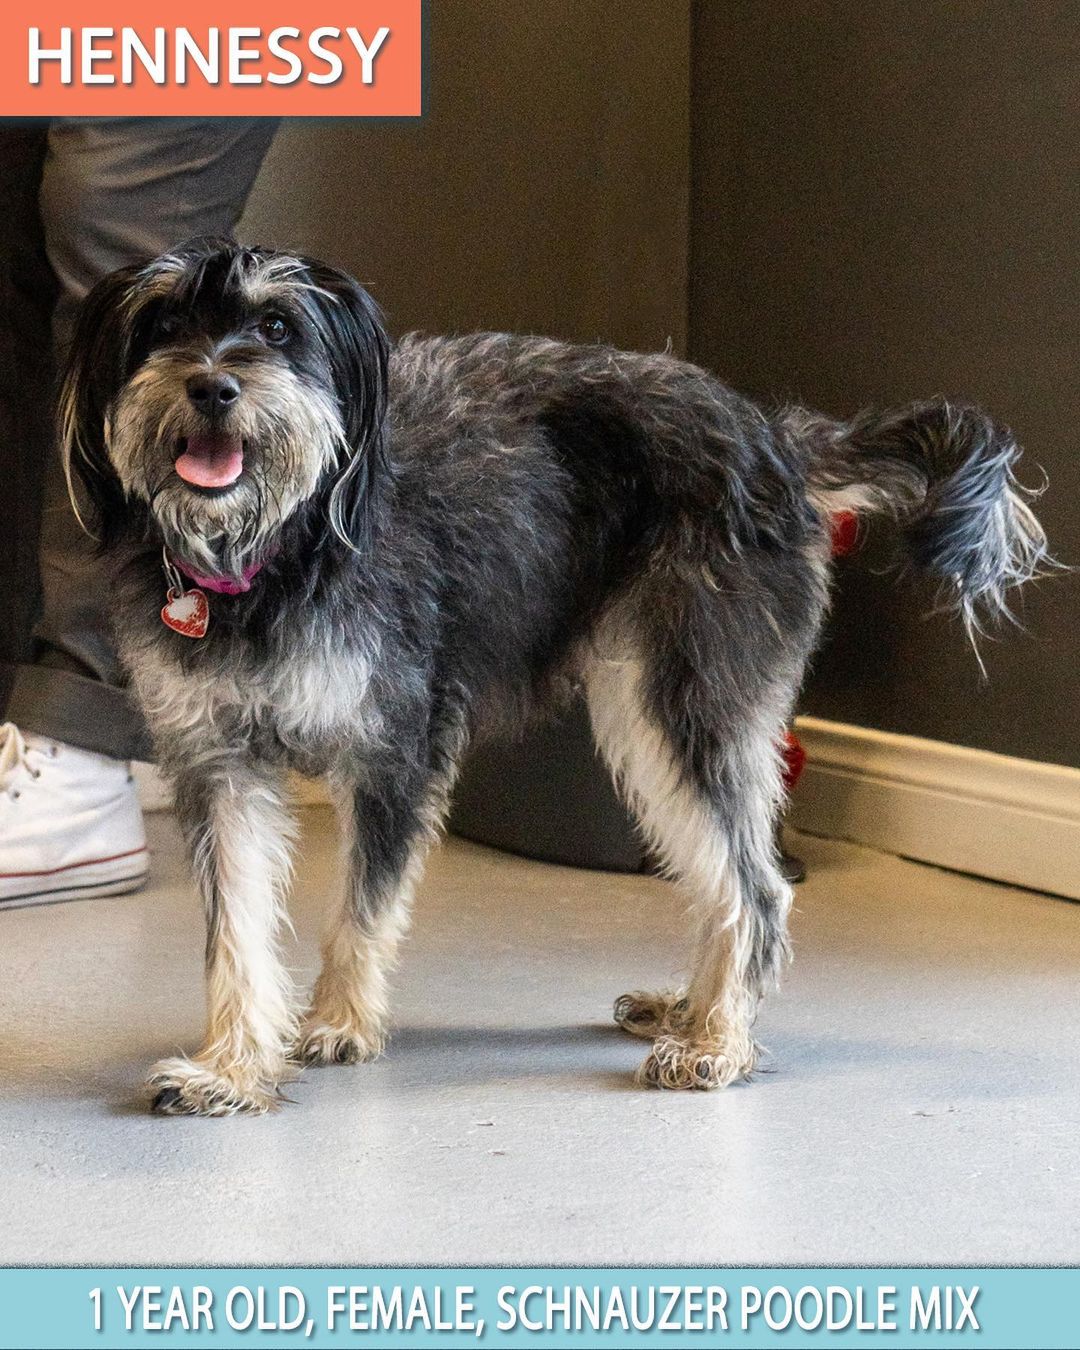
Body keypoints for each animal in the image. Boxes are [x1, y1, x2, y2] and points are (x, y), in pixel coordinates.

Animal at [57, 237, 1047, 1112]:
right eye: (164, 322)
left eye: (275, 326)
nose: (212, 384)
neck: (277, 548)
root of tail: (777, 437)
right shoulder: (218, 762)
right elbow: (236, 935)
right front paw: (230, 1066)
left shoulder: (395, 747)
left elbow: (362, 910)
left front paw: (338, 1024)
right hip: (653, 717)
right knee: (723, 878)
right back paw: (692, 1010)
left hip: (683, 705)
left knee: (755, 888)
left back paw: (719, 1042)